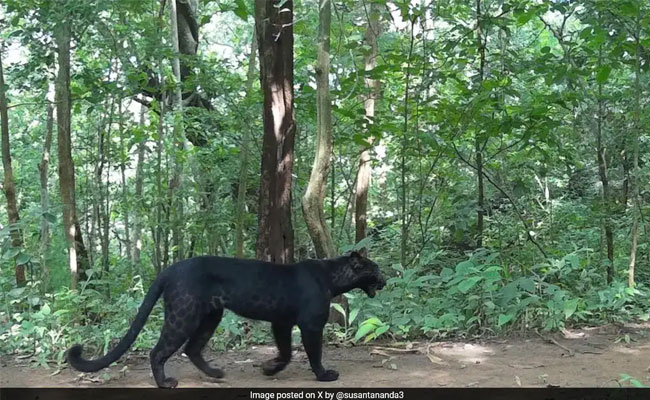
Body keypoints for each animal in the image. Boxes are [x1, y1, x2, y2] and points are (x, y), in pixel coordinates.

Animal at [64, 253, 384, 388]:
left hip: (210, 316)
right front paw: (324, 375)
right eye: (375, 269)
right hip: (185, 315)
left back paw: (215, 373)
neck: (332, 277)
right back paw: (165, 383)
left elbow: (285, 351)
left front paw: (269, 369)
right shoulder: (311, 324)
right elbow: (312, 352)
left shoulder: (280, 322)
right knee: (159, 351)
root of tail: (170, 269)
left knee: (191, 348)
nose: (384, 279)